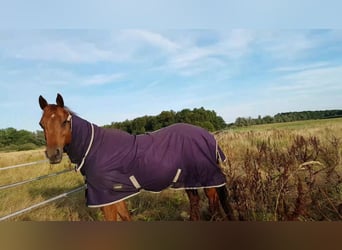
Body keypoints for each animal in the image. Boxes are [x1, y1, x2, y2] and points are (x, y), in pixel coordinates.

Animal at [38, 93, 235, 221]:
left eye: (65, 121)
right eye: (41, 124)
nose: (53, 154)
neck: (92, 148)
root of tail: (208, 135)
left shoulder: (105, 198)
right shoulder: (114, 196)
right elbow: (125, 217)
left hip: (207, 179)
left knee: (213, 204)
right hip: (189, 180)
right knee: (195, 202)